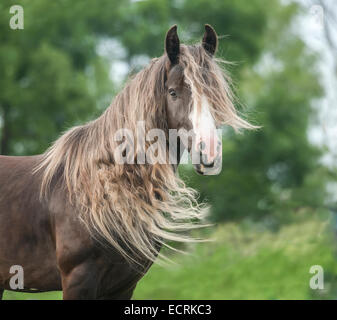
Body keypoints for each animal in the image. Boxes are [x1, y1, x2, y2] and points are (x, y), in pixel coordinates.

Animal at [0, 25, 252, 300]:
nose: (208, 152)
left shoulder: (124, 285)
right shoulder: (78, 279)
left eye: (215, 95)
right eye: (173, 92)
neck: (101, 189)